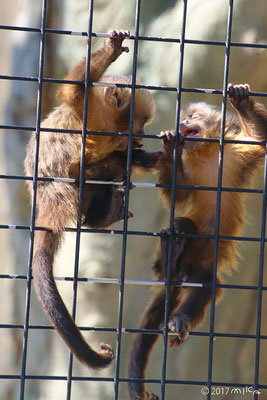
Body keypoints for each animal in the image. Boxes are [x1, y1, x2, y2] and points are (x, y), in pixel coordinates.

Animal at [25, 29, 162, 370]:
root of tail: (46, 199)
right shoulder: (89, 109)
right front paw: (110, 52)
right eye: (140, 121)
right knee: (98, 168)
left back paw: (103, 215)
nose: (142, 134)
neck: (107, 129)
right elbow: (73, 91)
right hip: (69, 190)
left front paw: (146, 156)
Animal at [127, 83, 267, 398]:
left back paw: (178, 318)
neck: (206, 152)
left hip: (200, 267)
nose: (182, 123)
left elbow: (261, 140)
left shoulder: (237, 153)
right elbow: (177, 196)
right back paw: (170, 254)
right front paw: (171, 148)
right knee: (182, 226)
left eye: (193, 117)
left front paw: (241, 100)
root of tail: (182, 271)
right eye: (183, 118)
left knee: (207, 285)